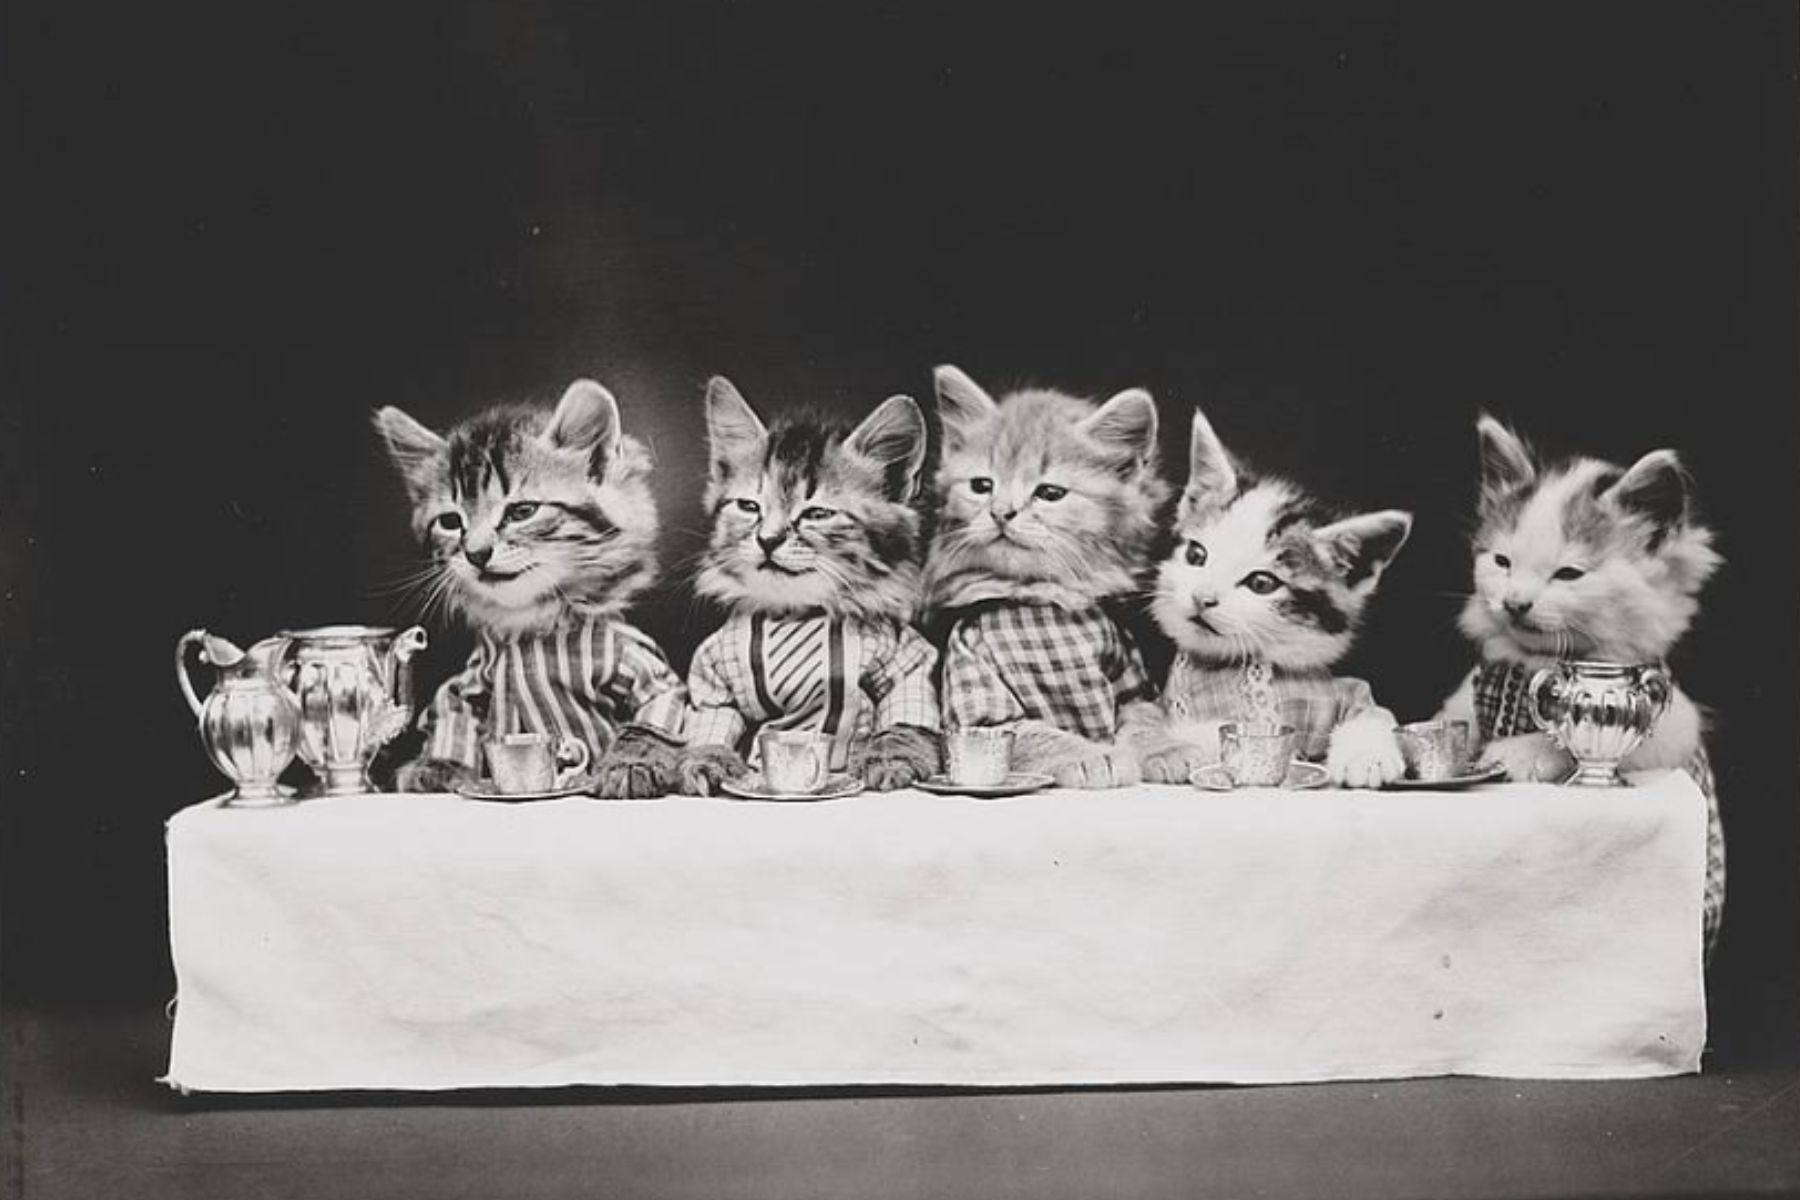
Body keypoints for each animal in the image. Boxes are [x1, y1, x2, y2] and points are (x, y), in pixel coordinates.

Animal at [372, 379, 687, 802]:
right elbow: (451, 713)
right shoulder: (471, 680)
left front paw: (631, 763)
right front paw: (438, 765)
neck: (532, 626)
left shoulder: (640, 667)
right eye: (450, 522)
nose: (476, 553)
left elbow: (654, 715)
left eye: (522, 512)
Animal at [676, 370, 943, 791]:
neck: (796, 614)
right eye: (749, 506)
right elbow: (711, 720)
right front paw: (706, 759)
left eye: (817, 514)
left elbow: (904, 717)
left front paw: (890, 756)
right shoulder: (713, 673)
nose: (767, 540)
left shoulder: (906, 658)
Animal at [921, 363, 1173, 788]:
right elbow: (1041, 734)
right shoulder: (976, 694)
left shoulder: (1131, 681)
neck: (1039, 599)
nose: (1001, 512)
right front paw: (1093, 757)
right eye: (982, 486)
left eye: (1050, 493)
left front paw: (1170, 749)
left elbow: (1146, 720)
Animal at [1144, 408, 1411, 791]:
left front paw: (1366, 756)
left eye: (1261, 582)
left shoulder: (1339, 692)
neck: (1246, 660)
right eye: (1196, 555)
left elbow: (1373, 710)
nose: (1202, 597)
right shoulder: (1169, 705)